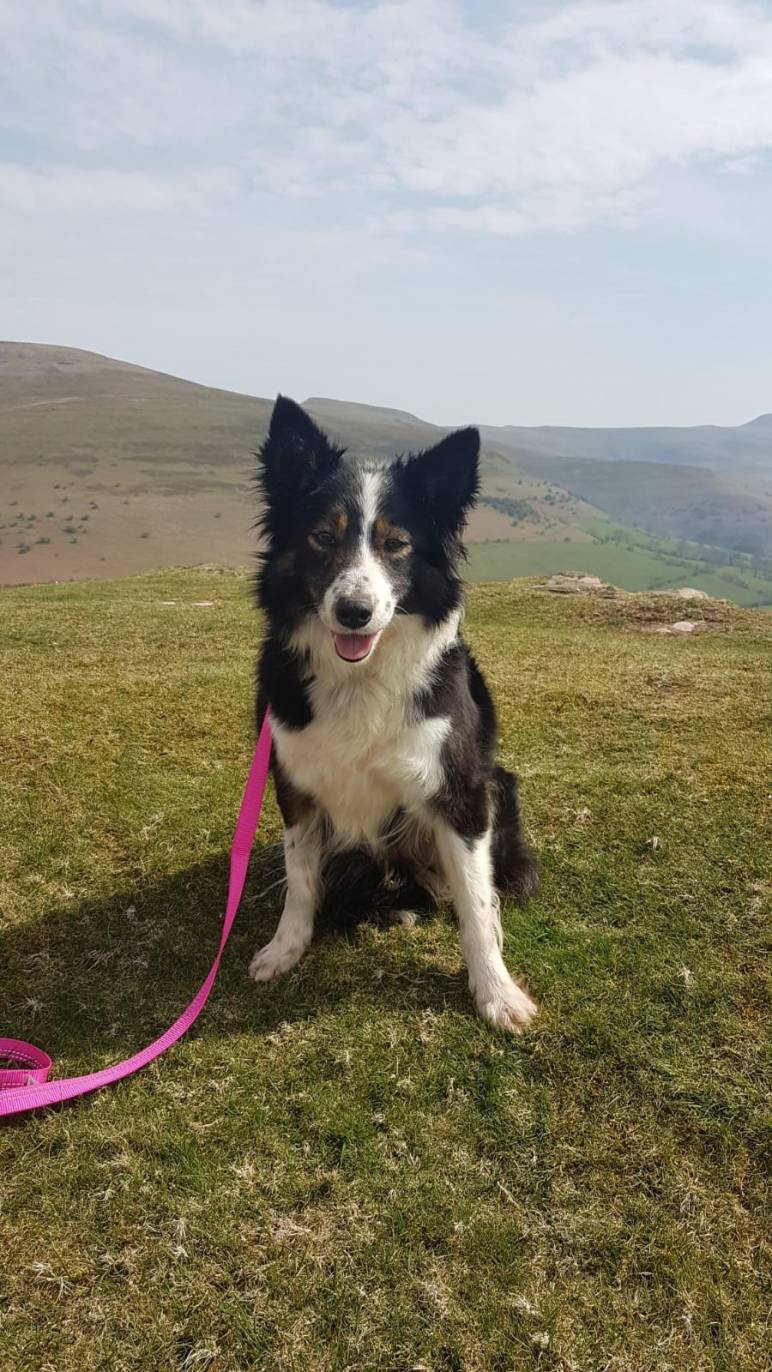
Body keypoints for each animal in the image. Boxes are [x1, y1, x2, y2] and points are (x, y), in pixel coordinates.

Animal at [249, 396, 539, 1031]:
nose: (354, 612)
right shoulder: (294, 785)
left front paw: (496, 993)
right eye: (321, 537)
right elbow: (300, 879)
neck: (360, 678)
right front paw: (286, 947)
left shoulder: (460, 790)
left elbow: (476, 905)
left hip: (498, 787)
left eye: (397, 544)